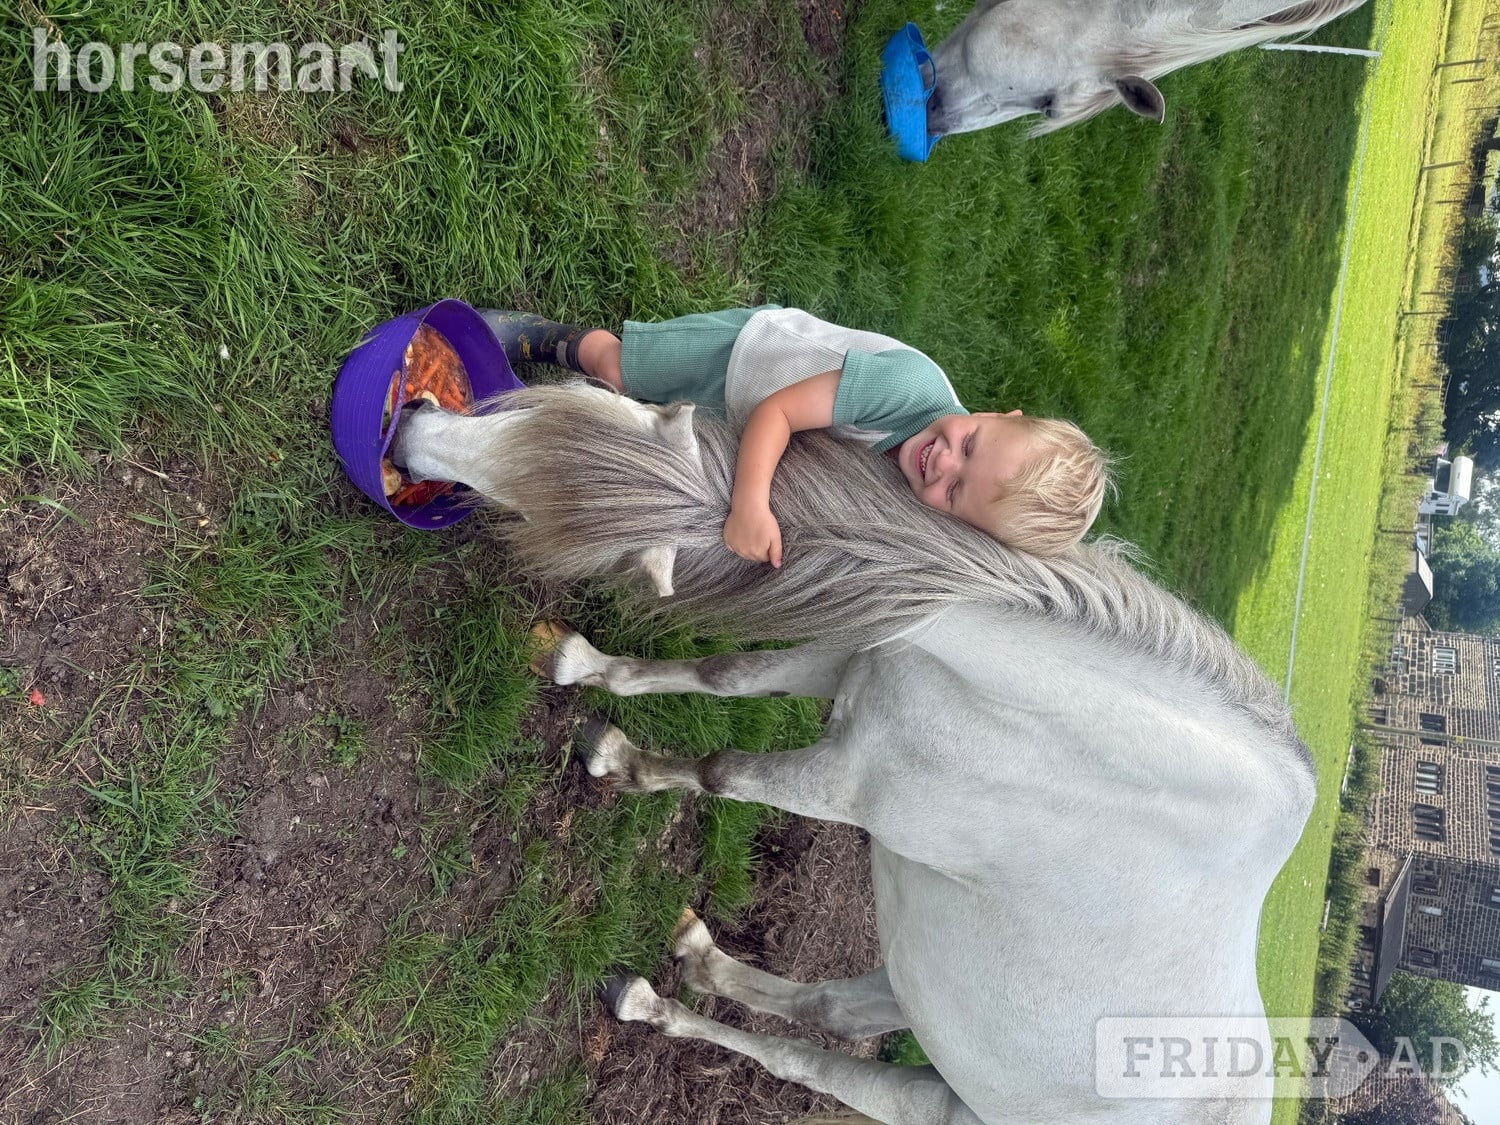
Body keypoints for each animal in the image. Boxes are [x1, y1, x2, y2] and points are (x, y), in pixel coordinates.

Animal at [391, 383, 1316, 1124]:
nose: (408, 432)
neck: (1062, 730)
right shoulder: (854, 659)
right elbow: (725, 675)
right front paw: (594, 695)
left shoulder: (846, 784)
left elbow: (725, 770)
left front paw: (623, 753)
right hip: (911, 987)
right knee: (830, 1008)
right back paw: (699, 961)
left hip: (937, 1099)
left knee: (807, 1059)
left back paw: (651, 1005)